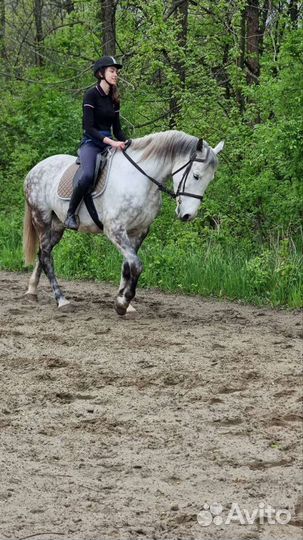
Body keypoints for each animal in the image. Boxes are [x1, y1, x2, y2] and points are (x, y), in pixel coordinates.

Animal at [23, 129, 223, 314]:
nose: (188, 215)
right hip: (41, 218)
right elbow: (137, 265)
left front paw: (124, 302)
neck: (141, 180)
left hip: (57, 225)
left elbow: (128, 265)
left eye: (210, 179)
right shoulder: (115, 229)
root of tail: (35, 168)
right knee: (46, 256)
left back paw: (32, 291)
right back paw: (61, 300)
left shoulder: (139, 231)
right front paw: (123, 303)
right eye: (196, 176)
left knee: (43, 253)